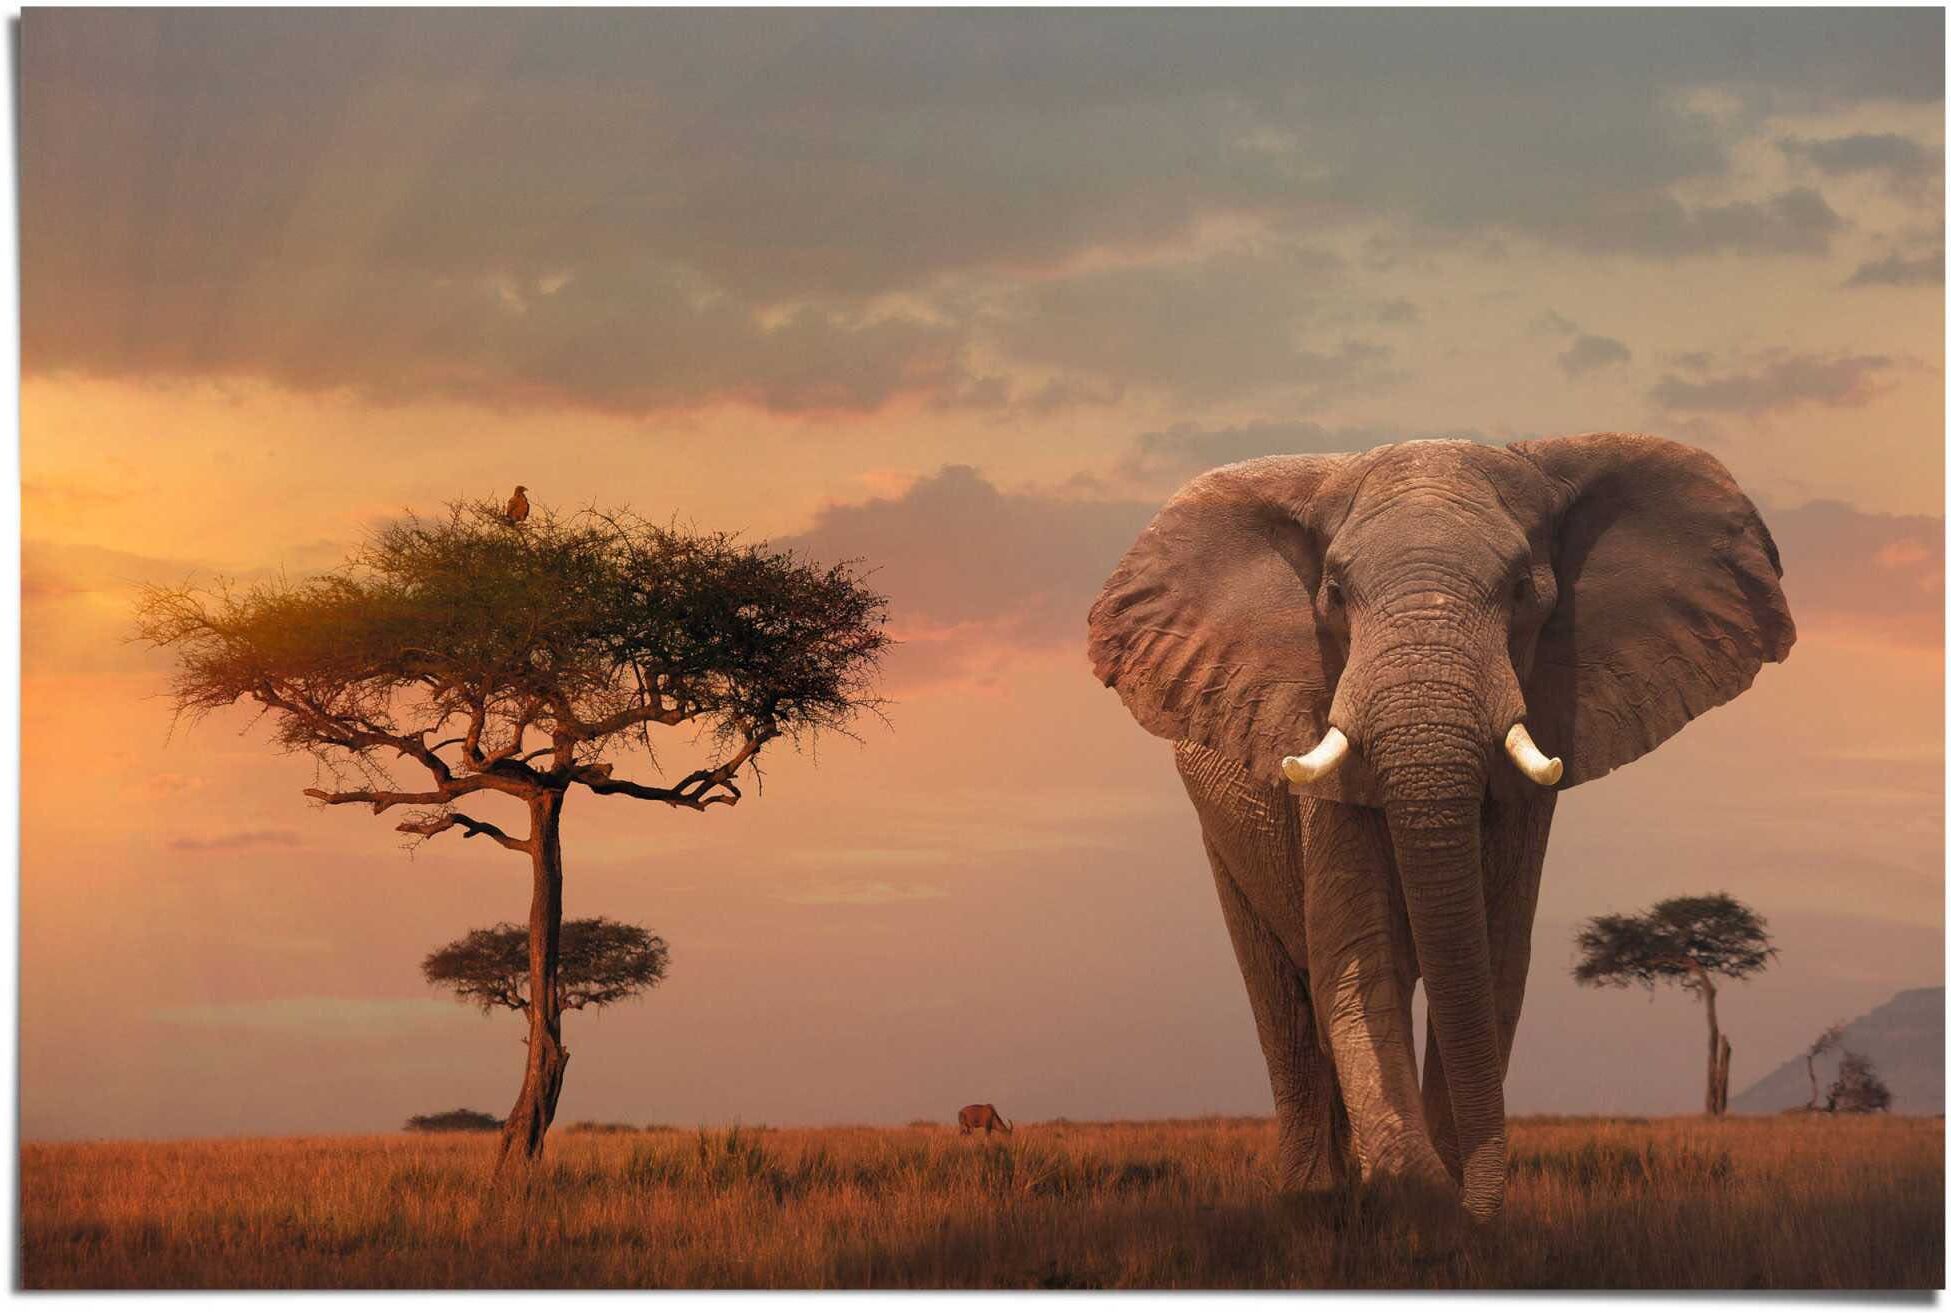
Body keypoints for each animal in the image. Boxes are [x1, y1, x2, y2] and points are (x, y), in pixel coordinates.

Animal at [1086, 434, 1793, 1219]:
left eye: (1522, 592)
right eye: (1334, 594)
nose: (1474, 1205)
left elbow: (1492, 960)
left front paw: (1450, 1206)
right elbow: (1362, 956)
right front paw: (1412, 1191)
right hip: (1221, 829)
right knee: (1283, 999)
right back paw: (1314, 1194)